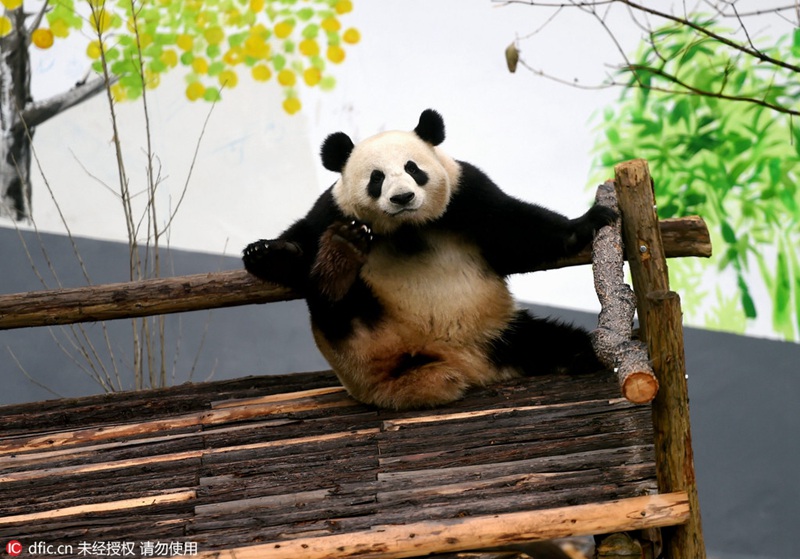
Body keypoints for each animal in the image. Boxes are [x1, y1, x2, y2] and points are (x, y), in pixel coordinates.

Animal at [243, 109, 615, 410]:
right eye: (376, 177)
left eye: (413, 168)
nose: (402, 197)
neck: (407, 228)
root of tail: (455, 365)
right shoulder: (333, 211)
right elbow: (302, 247)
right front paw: (266, 253)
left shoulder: (467, 194)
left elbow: (519, 233)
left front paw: (590, 221)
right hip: (361, 347)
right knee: (334, 307)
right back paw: (341, 261)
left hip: (502, 335)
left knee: (557, 342)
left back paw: (583, 356)